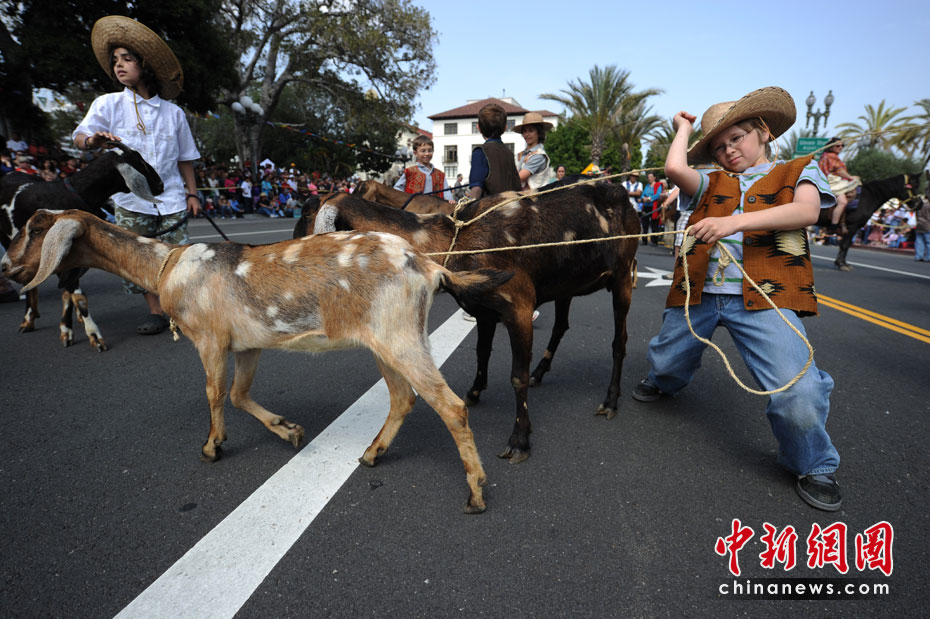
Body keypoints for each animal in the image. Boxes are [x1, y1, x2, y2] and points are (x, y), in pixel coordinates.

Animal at [0, 142, 163, 350]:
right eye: (139, 161)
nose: (161, 185)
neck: (75, 193)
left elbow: (72, 294)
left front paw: (67, 330)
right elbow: (76, 296)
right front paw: (93, 335)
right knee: (30, 284)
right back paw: (28, 319)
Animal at [2, 209, 514, 513]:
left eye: (34, 228)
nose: (6, 269)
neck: (168, 266)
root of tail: (428, 266)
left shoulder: (209, 339)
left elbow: (214, 392)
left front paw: (212, 447)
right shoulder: (247, 344)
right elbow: (238, 392)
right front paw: (289, 431)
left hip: (400, 336)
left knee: (450, 406)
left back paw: (475, 492)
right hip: (386, 342)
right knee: (402, 398)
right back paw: (372, 454)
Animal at [296, 183, 640, 463]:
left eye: (307, 211)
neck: (456, 239)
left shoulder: (519, 308)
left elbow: (517, 377)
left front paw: (519, 441)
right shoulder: (484, 310)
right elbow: (482, 352)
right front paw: (474, 393)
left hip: (623, 275)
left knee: (619, 340)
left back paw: (610, 401)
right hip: (565, 285)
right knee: (561, 326)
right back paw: (542, 372)